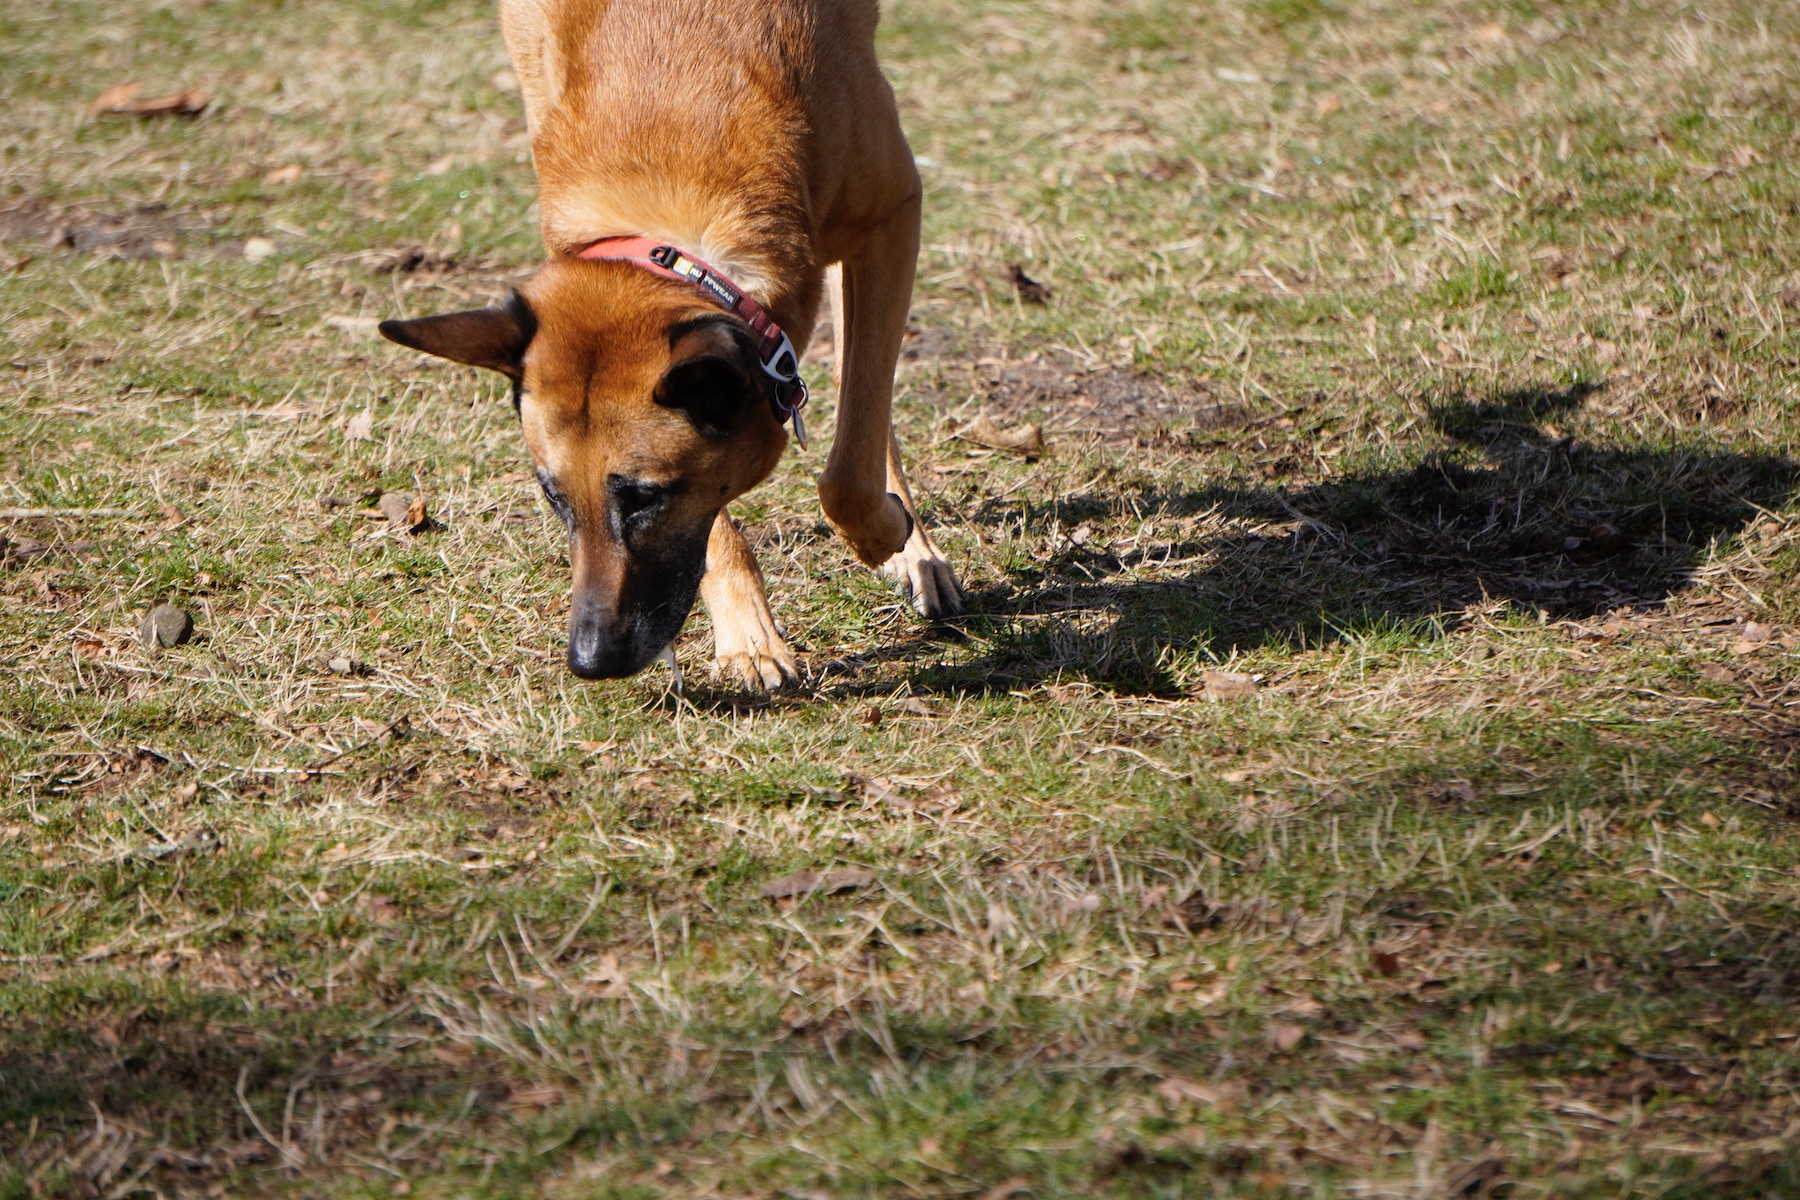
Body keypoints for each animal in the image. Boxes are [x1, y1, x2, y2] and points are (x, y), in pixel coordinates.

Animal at [379, 0, 964, 683]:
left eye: (643, 498)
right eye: (552, 496)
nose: (589, 661)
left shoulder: (894, 214)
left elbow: (850, 458)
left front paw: (888, 534)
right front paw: (749, 637)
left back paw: (912, 548)